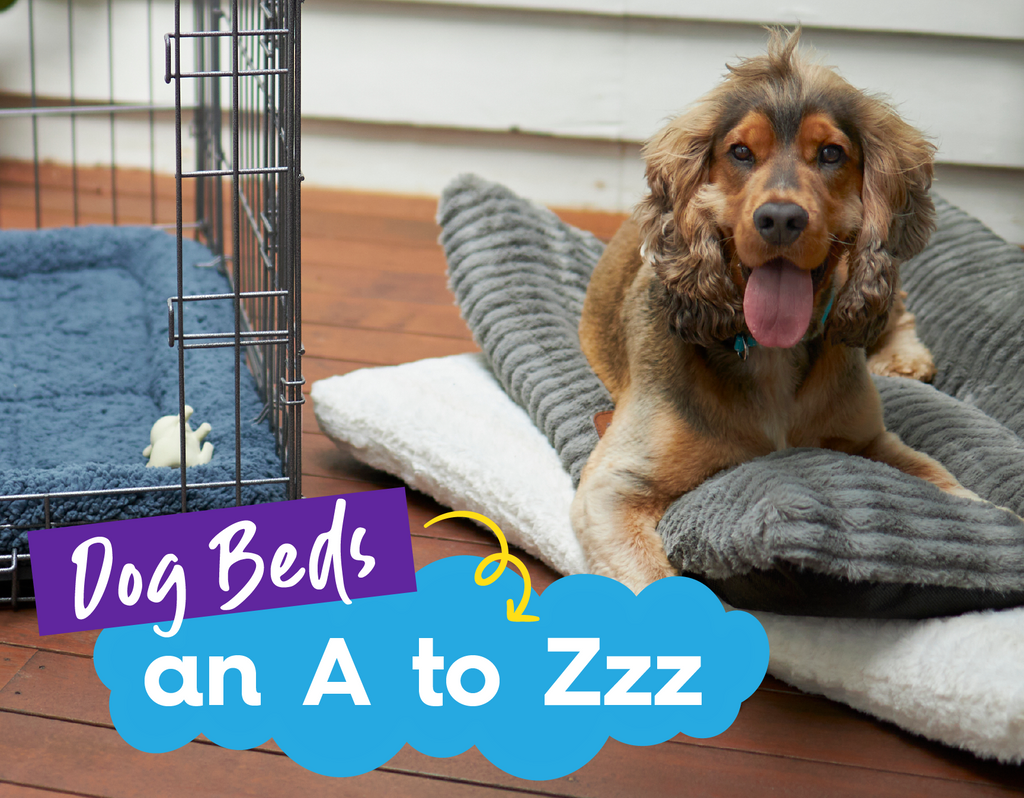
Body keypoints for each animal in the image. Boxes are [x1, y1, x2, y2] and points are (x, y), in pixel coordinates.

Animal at [569, 29, 974, 594]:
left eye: (831, 153)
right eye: (740, 152)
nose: (781, 218)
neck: (768, 351)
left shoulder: (872, 439)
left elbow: (949, 486)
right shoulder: (615, 485)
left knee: (896, 309)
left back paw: (904, 359)